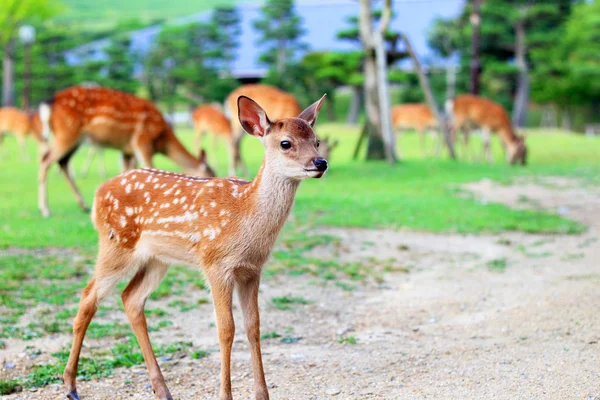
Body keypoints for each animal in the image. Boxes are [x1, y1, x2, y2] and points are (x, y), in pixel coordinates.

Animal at [38, 86, 216, 217]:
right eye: (211, 174)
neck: (161, 139)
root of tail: (49, 103)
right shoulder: (142, 140)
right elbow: (150, 167)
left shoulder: (127, 149)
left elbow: (126, 172)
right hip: (68, 132)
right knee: (45, 159)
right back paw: (45, 210)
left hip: (74, 138)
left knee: (62, 161)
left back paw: (83, 206)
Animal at [62, 93, 328, 400]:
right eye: (286, 143)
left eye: (316, 141)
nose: (321, 162)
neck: (245, 215)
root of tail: (98, 195)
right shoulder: (215, 263)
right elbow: (226, 329)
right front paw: (225, 395)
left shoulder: (252, 269)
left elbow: (254, 326)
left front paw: (262, 395)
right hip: (116, 243)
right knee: (88, 297)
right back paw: (70, 385)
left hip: (157, 259)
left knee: (131, 299)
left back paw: (162, 389)